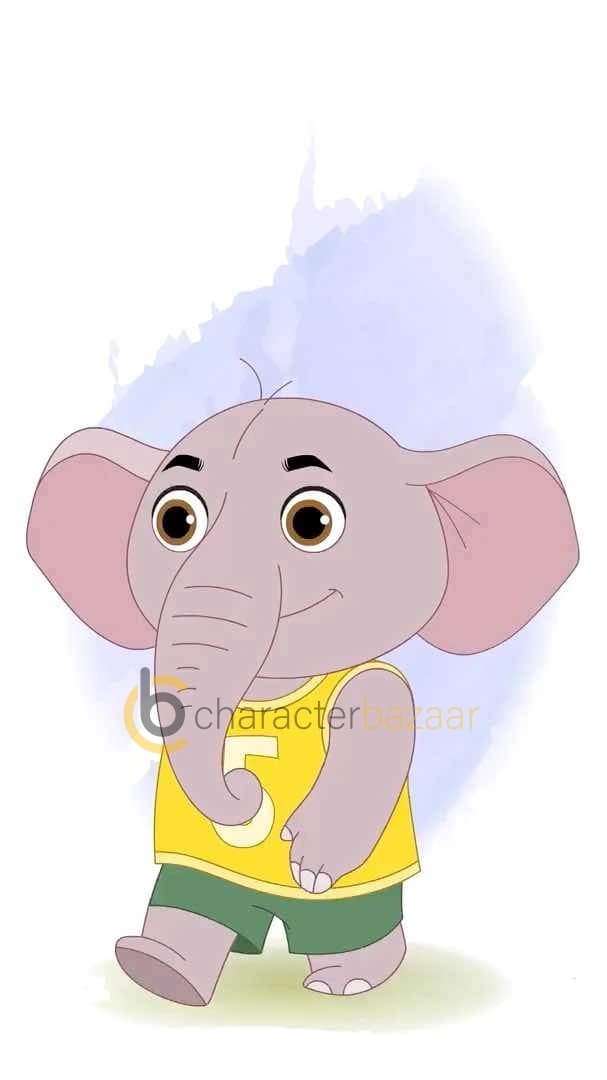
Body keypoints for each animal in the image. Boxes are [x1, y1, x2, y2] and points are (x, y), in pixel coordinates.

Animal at [27, 391, 578, 1004]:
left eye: (311, 522)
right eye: (175, 520)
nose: (246, 789)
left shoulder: (379, 691)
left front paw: (311, 862)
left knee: (351, 931)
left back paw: (350, 980)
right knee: (193, 907)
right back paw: (162, 969)